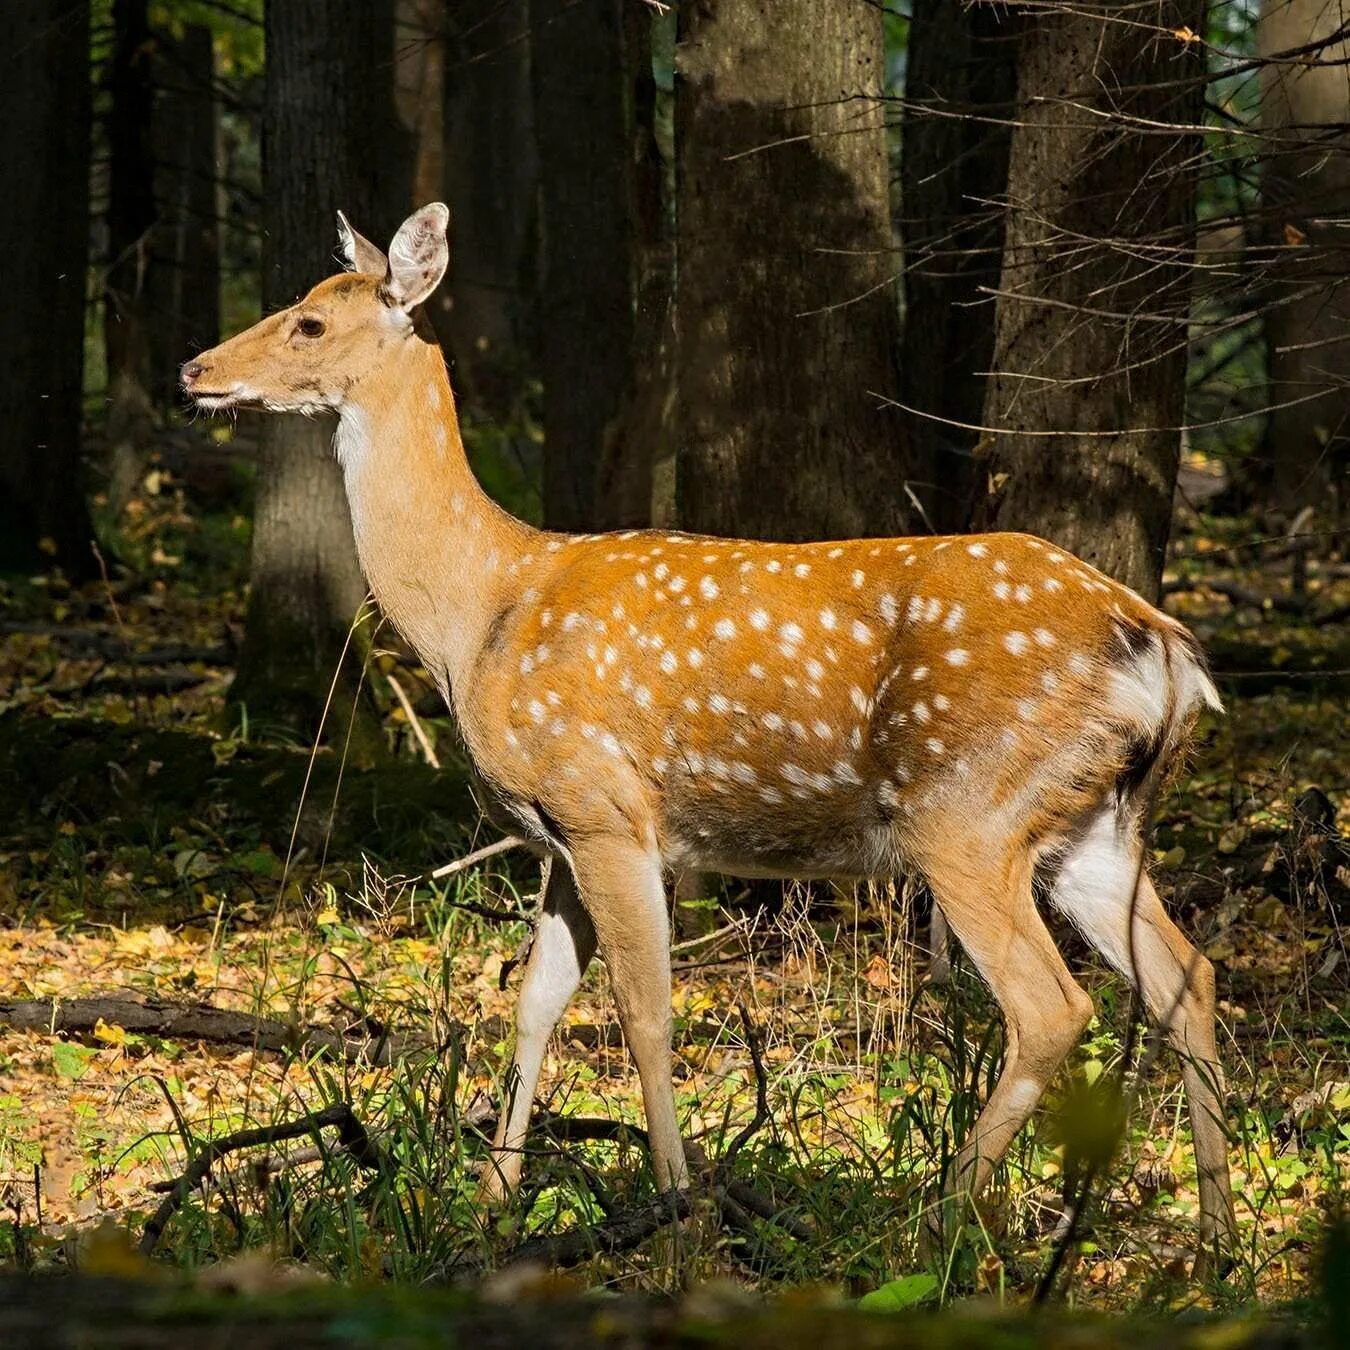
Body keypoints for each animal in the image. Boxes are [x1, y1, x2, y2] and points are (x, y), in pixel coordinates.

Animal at [184, 202, 1236, 1274]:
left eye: (310, 322)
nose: (195, 368)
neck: (480, 612)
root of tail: (1166, 650)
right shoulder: (561, 834)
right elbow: (534, 1004)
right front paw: (489, 1207)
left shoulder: (607, 808)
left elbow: (644, 1015)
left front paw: (676, 1219)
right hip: (1092, 825)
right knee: (1187, 977)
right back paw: (1215, 1241)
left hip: (968, 810)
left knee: (1051, 1006)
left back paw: (928, 1227)